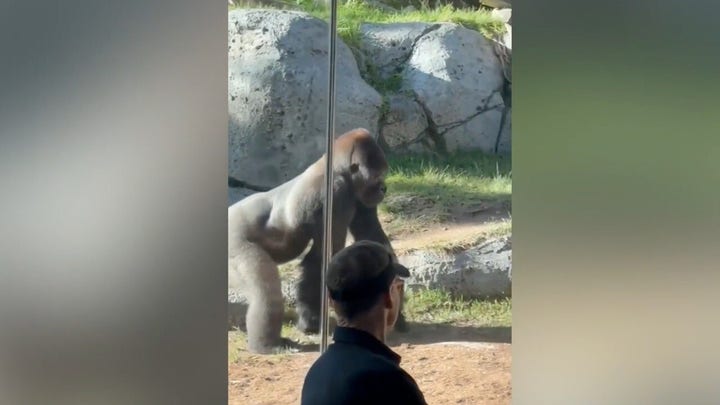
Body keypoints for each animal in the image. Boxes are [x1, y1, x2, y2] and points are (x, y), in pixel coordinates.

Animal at [228, 128, 407, 354]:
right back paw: (266, 345)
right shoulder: (335, 194)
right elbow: (323, 257)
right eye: (377, 176)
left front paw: (397, 307)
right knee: (265, 288)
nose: (384, 188)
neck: (338, 168)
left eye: (383, 174)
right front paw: (311, 321)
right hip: (234, 242)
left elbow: (371, 238)